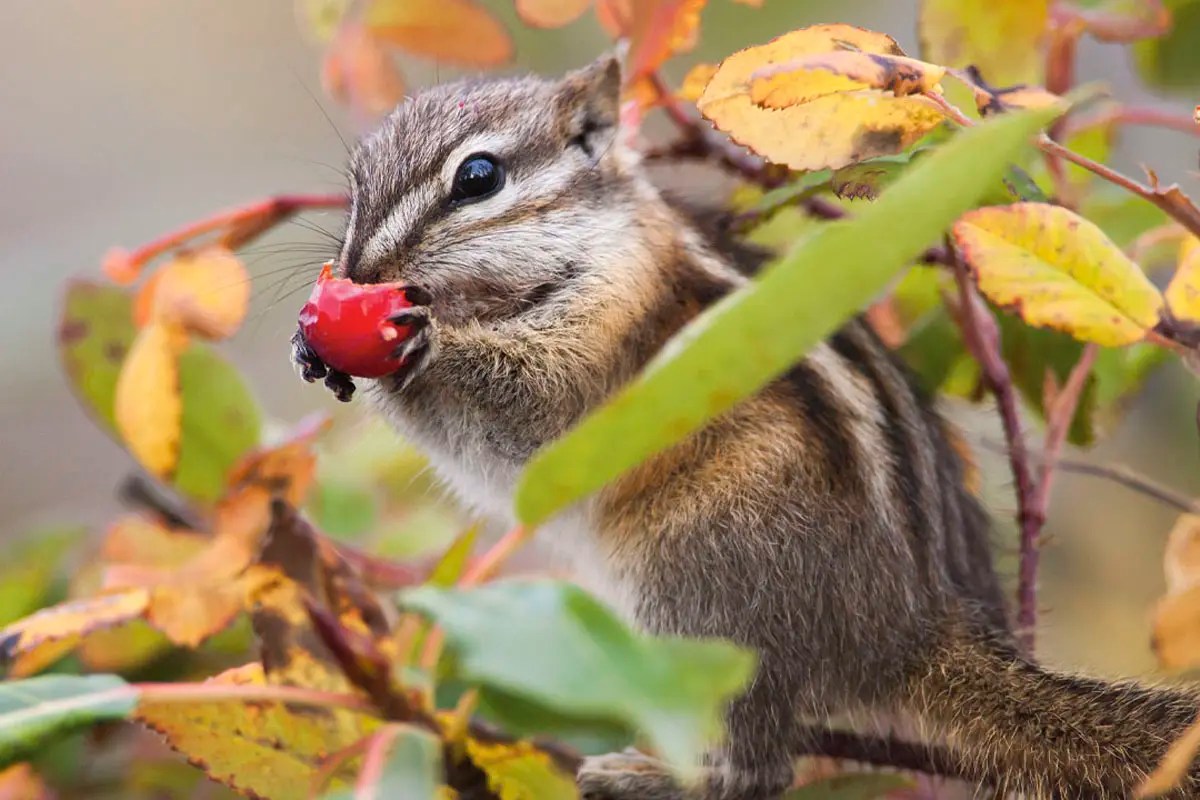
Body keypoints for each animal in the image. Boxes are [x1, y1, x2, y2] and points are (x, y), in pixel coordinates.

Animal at [291, 56, 1200, 799]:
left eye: (478, 177)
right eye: (357, 179)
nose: (360, 272)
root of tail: (909, 630)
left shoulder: (606, 341)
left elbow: (527, 414)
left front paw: (424, 345)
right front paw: (318, 349)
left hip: (701, 586)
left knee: (760, 766)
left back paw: (654, 777)